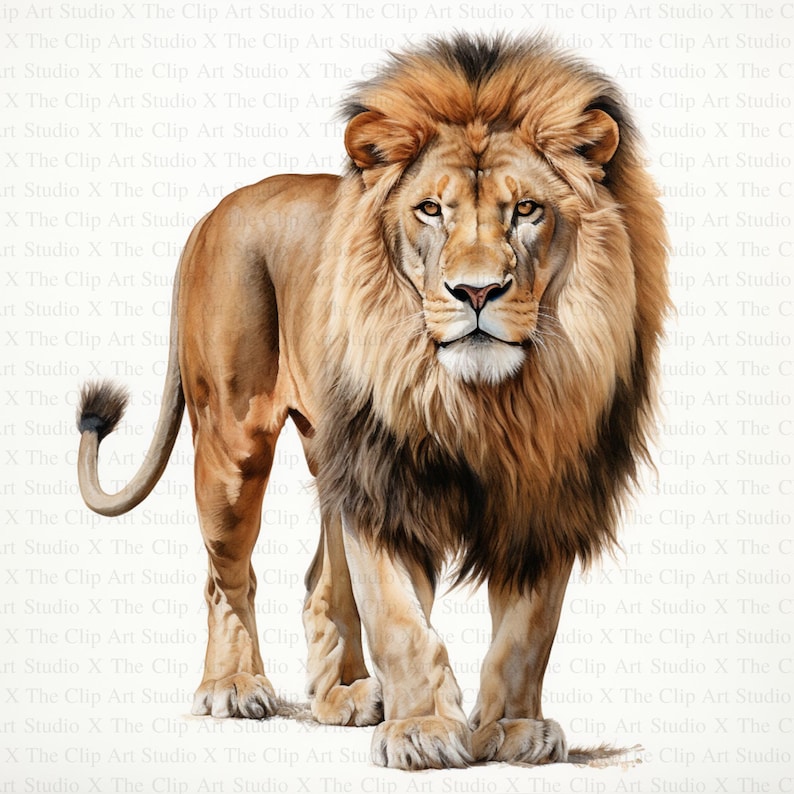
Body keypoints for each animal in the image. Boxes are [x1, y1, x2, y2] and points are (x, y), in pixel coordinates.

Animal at [76, 34, 668, 770]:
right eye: (431, 210)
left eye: (526, 210)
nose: (477, 292)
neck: (484, 402)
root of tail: (214, 213)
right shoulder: (381, 480)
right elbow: (398, 618)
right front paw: (422, 731)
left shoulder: (546, 491)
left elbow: (529, 631)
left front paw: (514, 730)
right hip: (234, 446)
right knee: (225, 573)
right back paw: (233, 687)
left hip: (329, 453)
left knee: (320, 580)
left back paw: (348, 696)